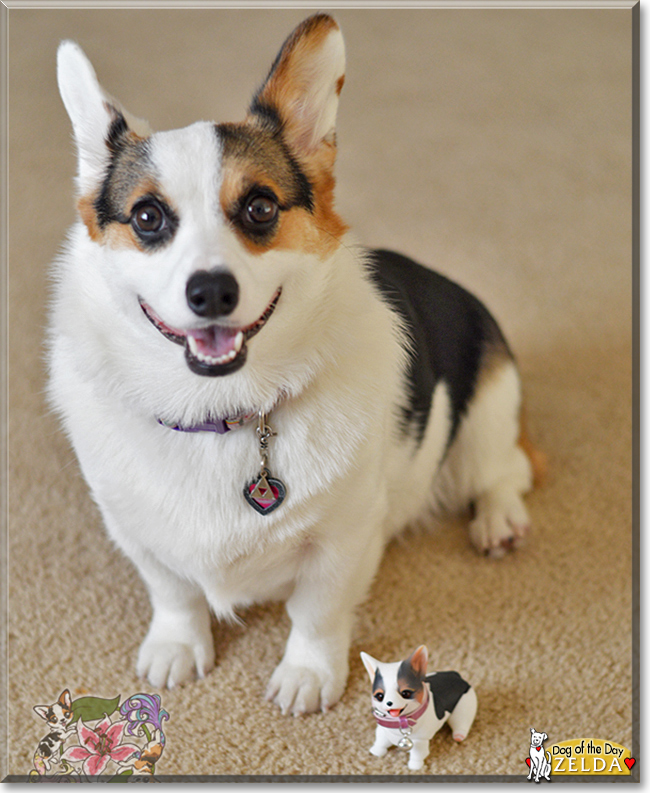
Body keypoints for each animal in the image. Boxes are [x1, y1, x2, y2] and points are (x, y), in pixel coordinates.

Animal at [48, 15, 540, 716]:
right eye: (147, 217)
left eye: (259, 207)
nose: (211, 292)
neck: (221, 414)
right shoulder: (134, 530)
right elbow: (173, 591)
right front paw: (176, 647)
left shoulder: (343, 540)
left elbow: (317, 612)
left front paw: (306, 675)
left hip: (488, 410)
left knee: (505, 469)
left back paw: (498, 520)